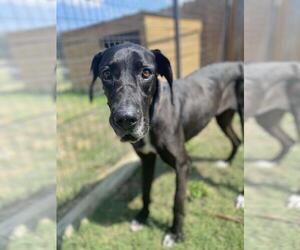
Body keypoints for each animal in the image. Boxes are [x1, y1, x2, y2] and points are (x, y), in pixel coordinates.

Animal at [89, 42, 244, 246]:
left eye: (146, 73)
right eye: (106, 74)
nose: (125, 120)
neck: (153, 115)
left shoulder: (182, 164)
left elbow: (178, 201)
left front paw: (175, 233)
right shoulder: (146, 159)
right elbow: (145, 190)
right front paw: (142, 216)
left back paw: (242, 196)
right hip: (223, 119)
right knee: (237, 140)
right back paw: (227, 162)